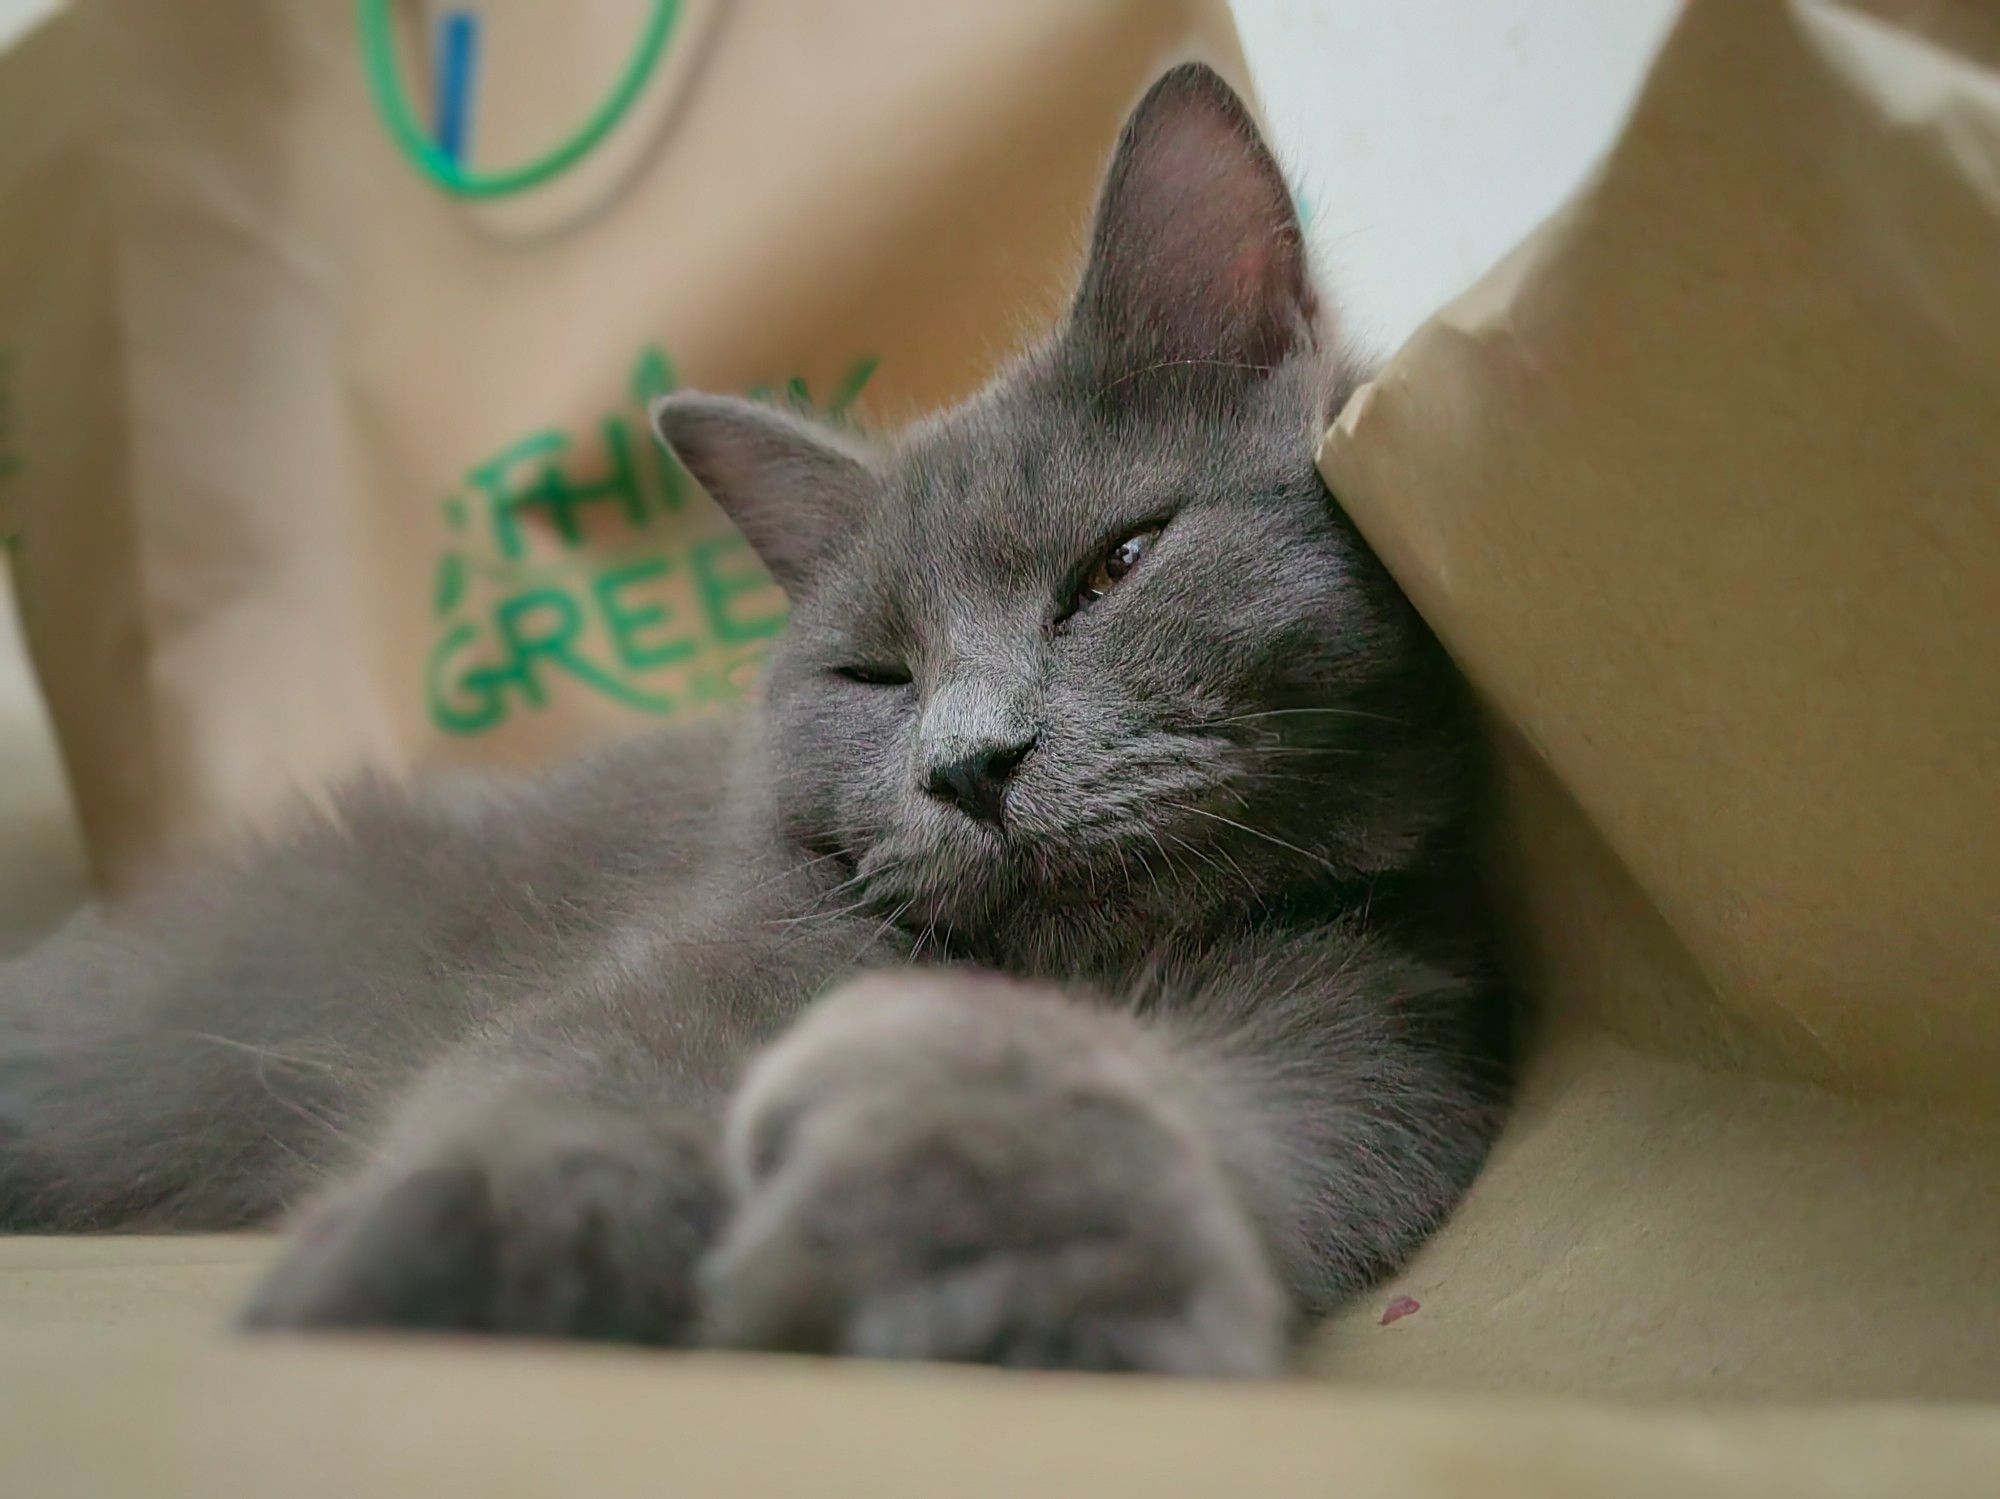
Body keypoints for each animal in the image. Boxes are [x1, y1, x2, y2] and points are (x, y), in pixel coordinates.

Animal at [0, 70, 1504, 1383]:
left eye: (1116, 568)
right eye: (874, 674)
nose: (968, 762)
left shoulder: (1358, 1040)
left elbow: (1168, 1112)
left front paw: (997, 1266)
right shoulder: (674, 967)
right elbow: (559, 1084)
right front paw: (453, 1258)